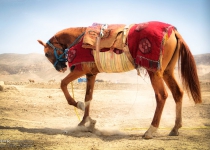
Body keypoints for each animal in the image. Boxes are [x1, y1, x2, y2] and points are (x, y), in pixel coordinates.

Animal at [37, 21, 200, 139]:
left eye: (46, 54)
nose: (60, 68)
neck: (78, 40)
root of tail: (173, 31)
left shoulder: (80, 70)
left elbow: (63, 84)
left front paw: (78, 105)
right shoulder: (90, 74)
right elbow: (88, 97)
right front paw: (86, 122)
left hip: (154, 71)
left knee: (161, 96)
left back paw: (150, 131)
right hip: (167, 71)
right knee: (178, 93)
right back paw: (175, 128)